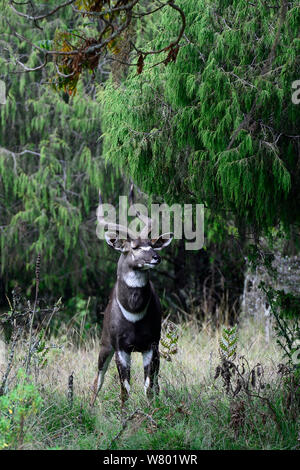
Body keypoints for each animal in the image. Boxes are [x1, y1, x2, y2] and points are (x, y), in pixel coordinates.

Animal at [90, 189, 172, 406]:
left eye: (152, 244)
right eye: (134, 247)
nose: (156, 257)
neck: (134, 312)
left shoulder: (151, 346)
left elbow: (149, 387)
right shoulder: (121, 348)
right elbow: (124, 390)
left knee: (156, 384)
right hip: (105, 345)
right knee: (97, 381)